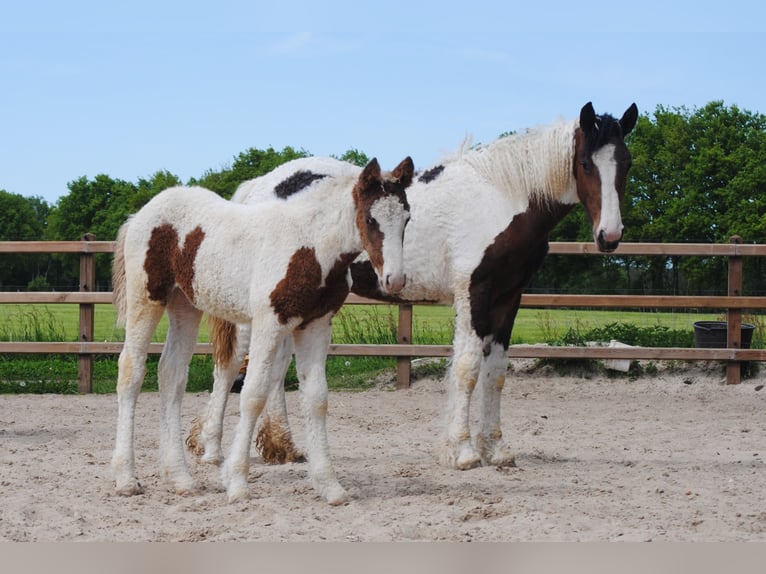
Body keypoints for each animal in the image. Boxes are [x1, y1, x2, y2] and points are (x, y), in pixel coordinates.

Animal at [111, 156, 414, 505]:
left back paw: (180, 478)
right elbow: (253, 394)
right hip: (146, 298)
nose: (395, 280)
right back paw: (125, 478)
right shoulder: (269, 323)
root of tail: (141, 214)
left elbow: (316, 399)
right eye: (369, 217)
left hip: (185, 306)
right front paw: (237, 482)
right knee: (131, 371)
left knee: (172, 374)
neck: (309, 244)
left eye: (407, 218)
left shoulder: (315, 325)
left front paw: (330, 486)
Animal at [189, 101, 638, 473]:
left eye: (627, 163)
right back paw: (211, 449)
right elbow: (467, 369)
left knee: (275, 367)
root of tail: (262, 184)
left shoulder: (509, 300)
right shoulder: (474, 294)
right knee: (233, 364)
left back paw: (283, 447)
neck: (503, 198)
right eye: (585, 163)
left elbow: (495, 374)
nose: (610, 236)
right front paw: (463, 451)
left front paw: (496, 449)